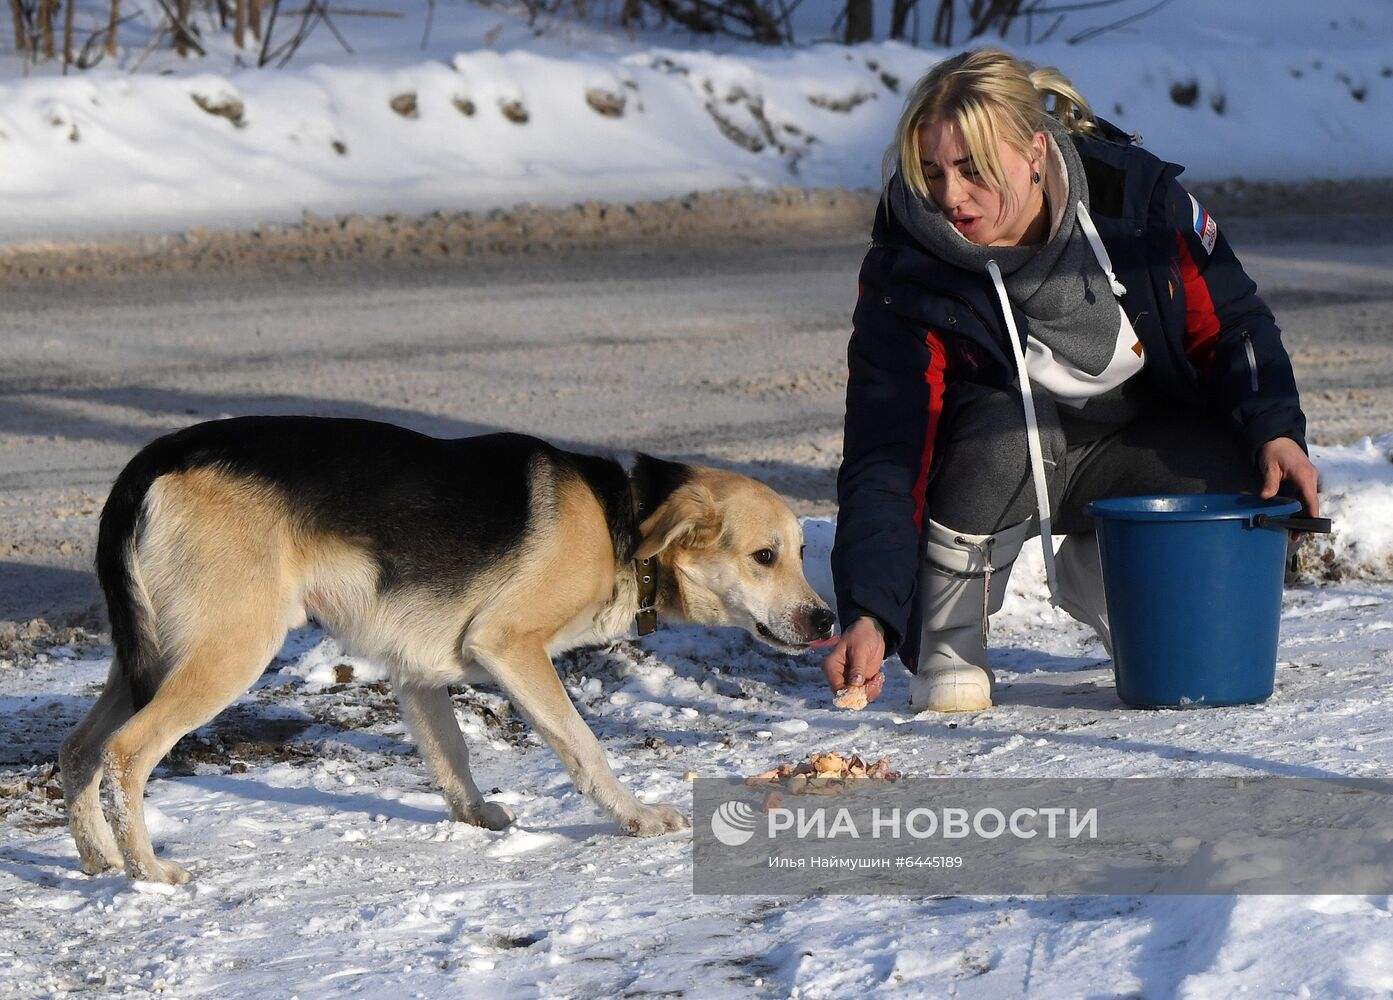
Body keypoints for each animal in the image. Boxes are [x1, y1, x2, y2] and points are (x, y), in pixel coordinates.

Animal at [59, 415, 830, 885]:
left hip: (151, 655)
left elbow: (450, 755)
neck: (626, 514)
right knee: (124, 753)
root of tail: (153, 461)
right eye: (764, 557)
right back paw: (149, 874)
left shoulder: (416, 671)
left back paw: (98, 860)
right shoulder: (511, 646)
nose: (825, 621)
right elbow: (583, 746)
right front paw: (636, 818)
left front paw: (476, 820)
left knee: (79, 750)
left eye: (799, 552)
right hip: (227, 651)